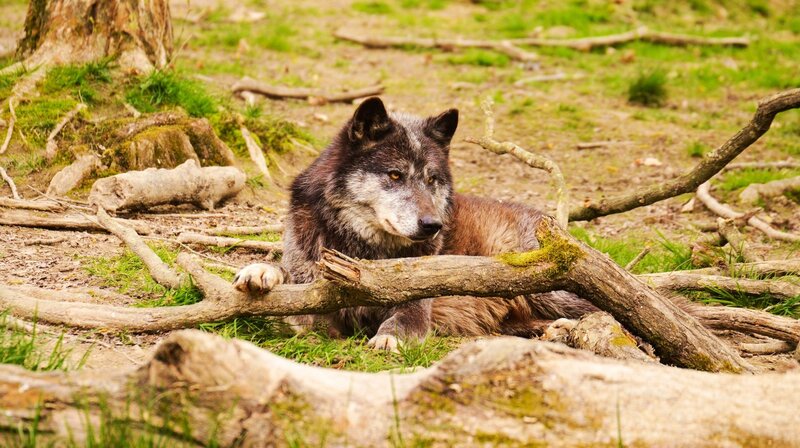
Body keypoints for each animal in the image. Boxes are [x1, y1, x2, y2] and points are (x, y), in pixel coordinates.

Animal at [233, 97, 593, 350]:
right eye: (395, 175)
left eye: (432, 179)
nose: (433, 225)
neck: (362, 250)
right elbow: (286, 276)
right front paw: (260, 271)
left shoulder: (417, 304)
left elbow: (405, 318)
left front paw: (389, 338)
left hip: (551, 288)